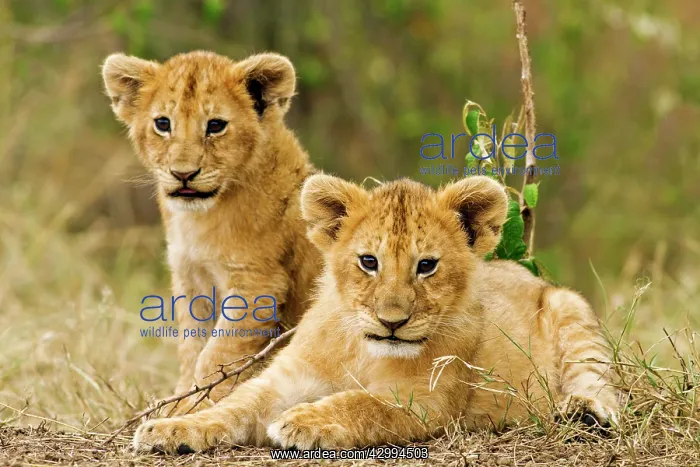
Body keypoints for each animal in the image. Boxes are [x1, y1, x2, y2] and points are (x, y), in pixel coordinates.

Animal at [102, 51, 322, 412]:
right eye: (163, 124)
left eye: (215, 125)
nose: (183, 174)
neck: (199, 220)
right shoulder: (190, 278)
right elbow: (191, 347)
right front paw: (178, 398)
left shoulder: (258, 285)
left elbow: (216, 355)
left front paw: (194, 407)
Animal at [133, 175, 620, 453]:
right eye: (369, 262)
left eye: (427, 265)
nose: (393, 322)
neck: (363, 349)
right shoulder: (285, 378)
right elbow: (233, 405)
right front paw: (167, 429)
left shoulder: (426, 401)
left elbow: (361, 403)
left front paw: (305, 421)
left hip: (570, 308)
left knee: (602, 385)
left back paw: (583, 413)